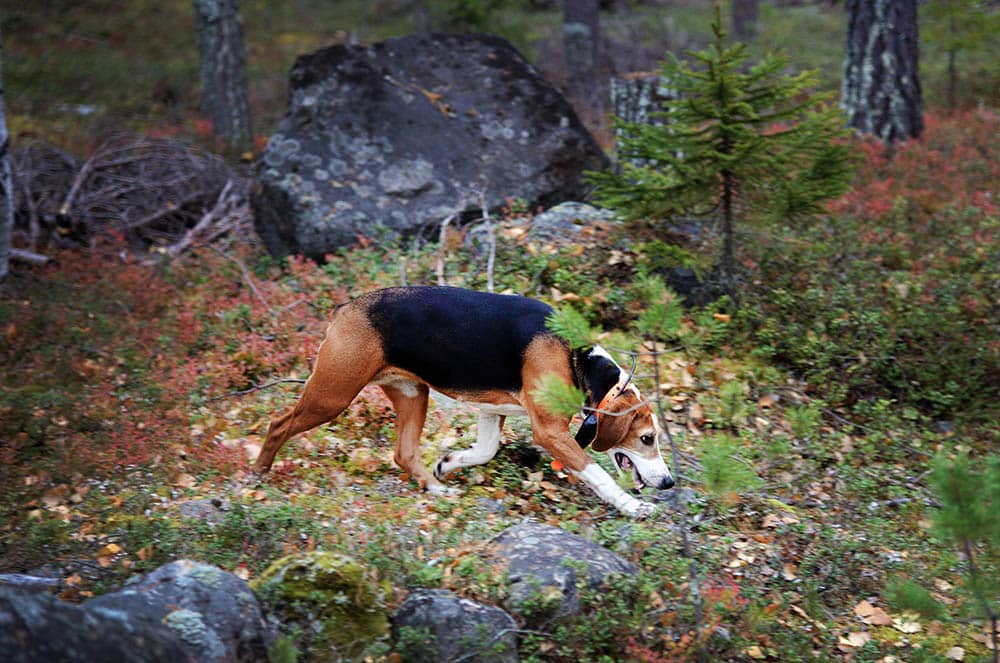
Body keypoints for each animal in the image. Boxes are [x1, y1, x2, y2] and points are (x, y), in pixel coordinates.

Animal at [250, 286, 676, 520]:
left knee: (404, 453)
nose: (669, 483)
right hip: (332, 395)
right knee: (277, 425)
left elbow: (484, 451)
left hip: (412, 394)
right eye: (647, 439)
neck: (577, 359)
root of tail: (345, 308)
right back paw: (258, 476)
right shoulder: (550, 432)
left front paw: (448, 463)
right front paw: (632, 507)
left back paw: (436, 489)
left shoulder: (493, 411)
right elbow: (597, 474)